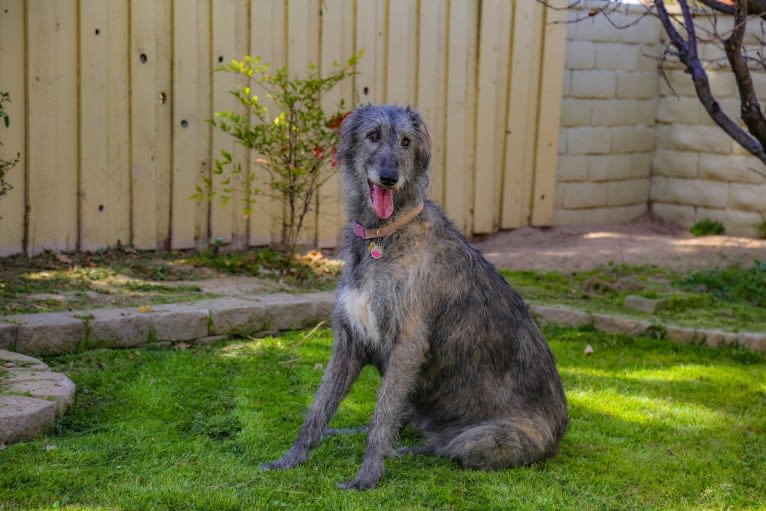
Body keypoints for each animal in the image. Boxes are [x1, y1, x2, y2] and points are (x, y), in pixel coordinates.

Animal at [264, 105, 568, 492]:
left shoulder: (407, 344)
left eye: (407, 142)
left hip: (486, 438)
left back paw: (404, 452)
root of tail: (560, 433)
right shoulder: (349, 340)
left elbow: (381, 421)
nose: (389, 178)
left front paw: (367, 476)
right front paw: (291, 458)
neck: (384, 235)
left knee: (444, 446)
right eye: (373, 135)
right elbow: (318, 409)